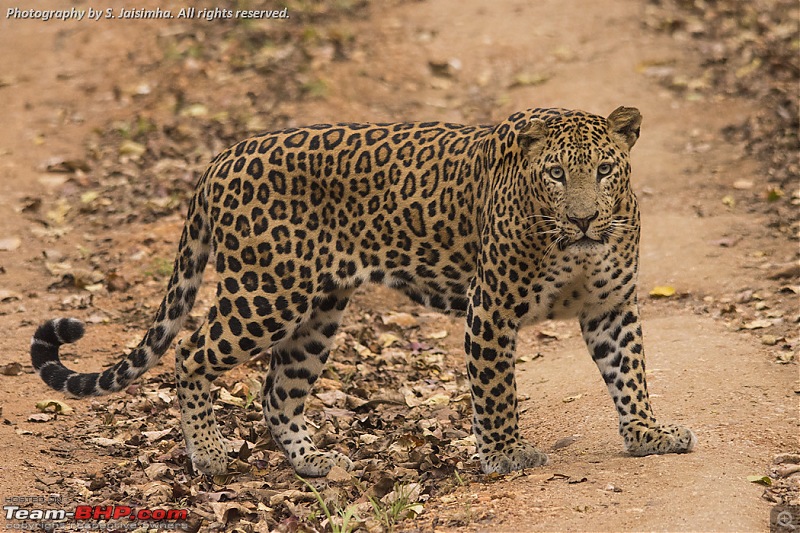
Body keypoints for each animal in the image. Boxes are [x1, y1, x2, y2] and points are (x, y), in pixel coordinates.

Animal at [31, 106, 692, 476]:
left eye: (604, 171)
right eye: (555, 174)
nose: (583, 220)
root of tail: (221, 158)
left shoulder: (610, 307)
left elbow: (630, 373)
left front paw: (648, 435)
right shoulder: (491, 309)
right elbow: (497, 391)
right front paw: (505, 454)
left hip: (318, 312)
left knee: (277, 391)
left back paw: (314, 463)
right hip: (266, 293)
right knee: (192, 353)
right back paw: (211, 457)